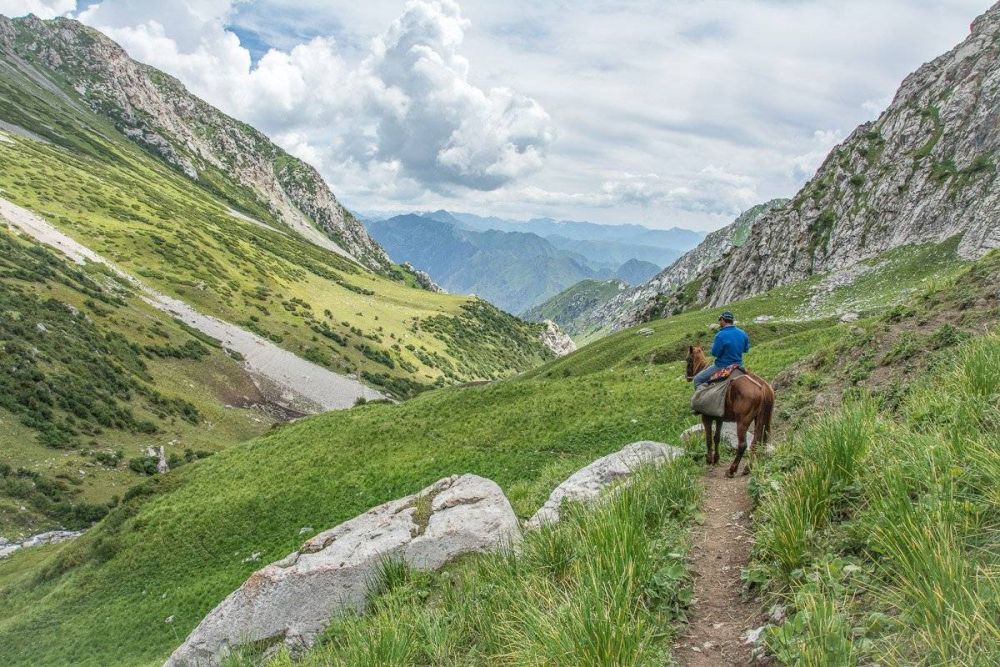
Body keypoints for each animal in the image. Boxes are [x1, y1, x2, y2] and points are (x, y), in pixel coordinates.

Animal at [684, 348, 776, 478]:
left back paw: (732, 470)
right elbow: (717, 437)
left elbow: (708, 439)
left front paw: (709, 460)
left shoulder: (706, 417)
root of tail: (762, 387)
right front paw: (716, 459)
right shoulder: (719, 418)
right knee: (756, 442)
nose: (687, 377)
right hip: (760, 419)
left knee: (742, 445)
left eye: (688, 359)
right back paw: (747, 468)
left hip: (743, 421)